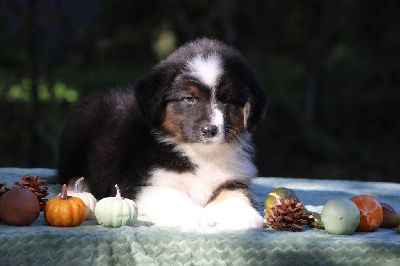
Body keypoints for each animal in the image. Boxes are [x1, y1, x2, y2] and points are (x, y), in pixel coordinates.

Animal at [56, 38, 268, 229]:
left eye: (227, 100)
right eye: (189, 98)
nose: (209, 130)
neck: (198, 153)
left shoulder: (232, 178)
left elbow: (236, 194)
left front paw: (245, 215)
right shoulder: (136, 185)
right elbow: (172, 196)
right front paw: (198, 215)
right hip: (76, 137)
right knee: (65, 173)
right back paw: (81, 186)